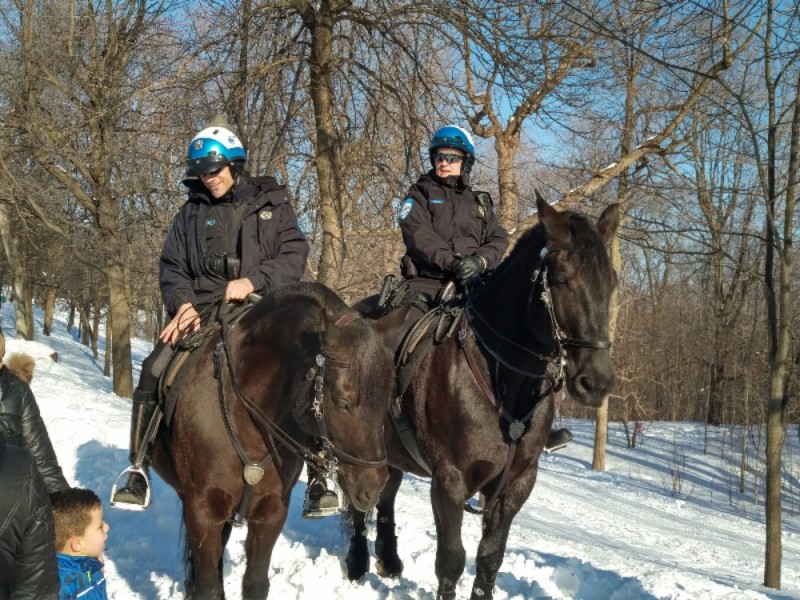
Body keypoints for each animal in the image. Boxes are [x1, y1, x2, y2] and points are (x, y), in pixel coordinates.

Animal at [149, 282, 394, 600]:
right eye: (343, 402)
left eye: (386, 402)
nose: (374, 486)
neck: (246, 420)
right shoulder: (202, 510)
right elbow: (208, 588)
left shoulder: (270, 514)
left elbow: (255, 584)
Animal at [346, 197, 620, 600]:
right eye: (561, 279)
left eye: (611, 283)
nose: (597, 382)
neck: (504, 387)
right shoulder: (449, 481)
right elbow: (451, 559)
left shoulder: (516, 484)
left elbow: (490, 557)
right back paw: (355, 564)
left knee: (386, 492)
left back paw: (389, 561)